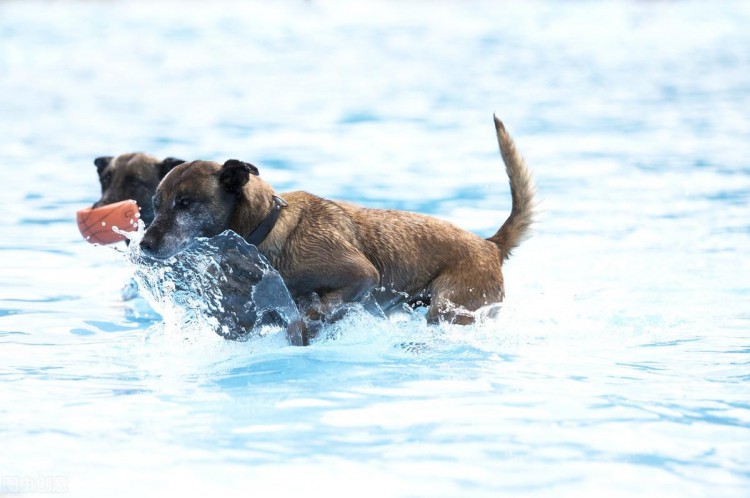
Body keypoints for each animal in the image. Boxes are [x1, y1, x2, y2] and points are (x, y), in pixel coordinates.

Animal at [140, 115, 536, 326]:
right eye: (155, 204)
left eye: (185, 204)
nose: (144, 244)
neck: (267, 227)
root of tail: (488, 244)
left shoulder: (361, 275)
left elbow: (320, 309)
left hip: (450, 309)